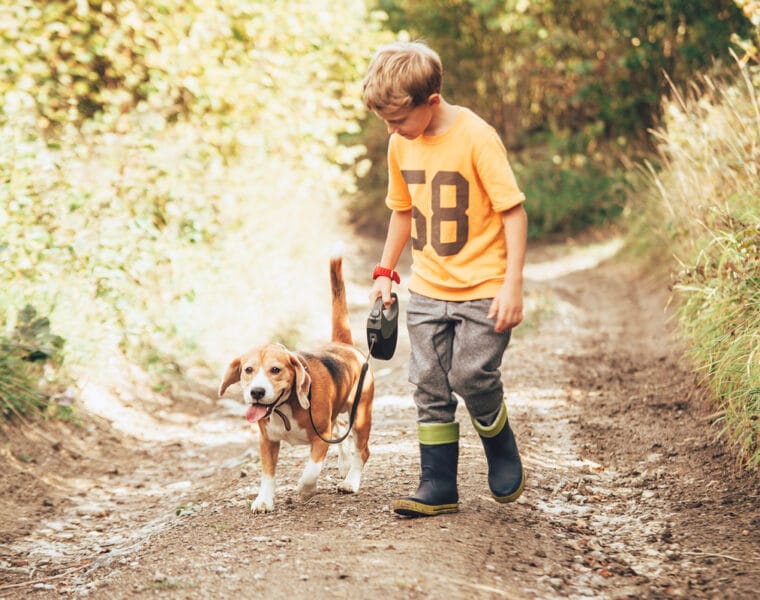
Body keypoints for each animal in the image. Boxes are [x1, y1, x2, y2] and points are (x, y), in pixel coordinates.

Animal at [217, 251, 374, 512]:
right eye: (248, 370)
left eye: (276, 370)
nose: (257, 392)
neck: (284, 407)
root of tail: (344, 345)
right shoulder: (267, 441)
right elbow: (268, 475)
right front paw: (264, 500)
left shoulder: (320, 437)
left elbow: (311, 470)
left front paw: (304, 489)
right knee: (342, 428)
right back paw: (344, 464)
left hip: (361, 417)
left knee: (363, 451)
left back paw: (351, 481)